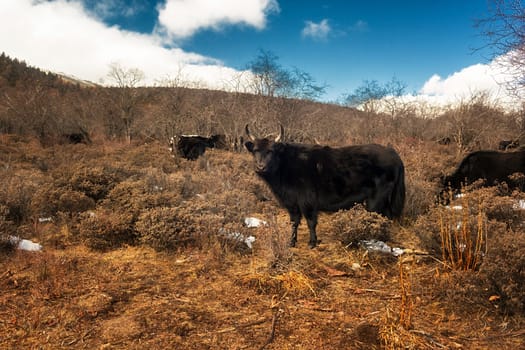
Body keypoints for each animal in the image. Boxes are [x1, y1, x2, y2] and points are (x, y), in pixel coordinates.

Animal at [243, 124, 406, 247]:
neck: (286, 164)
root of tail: (392, 153)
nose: (260, 167)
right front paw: (291, 242)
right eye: (255, 151)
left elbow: (310, 222)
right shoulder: (292, 204)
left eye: (271, 151)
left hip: (376, 199)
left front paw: (312, 242)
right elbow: (294, 222)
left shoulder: (307, 202)